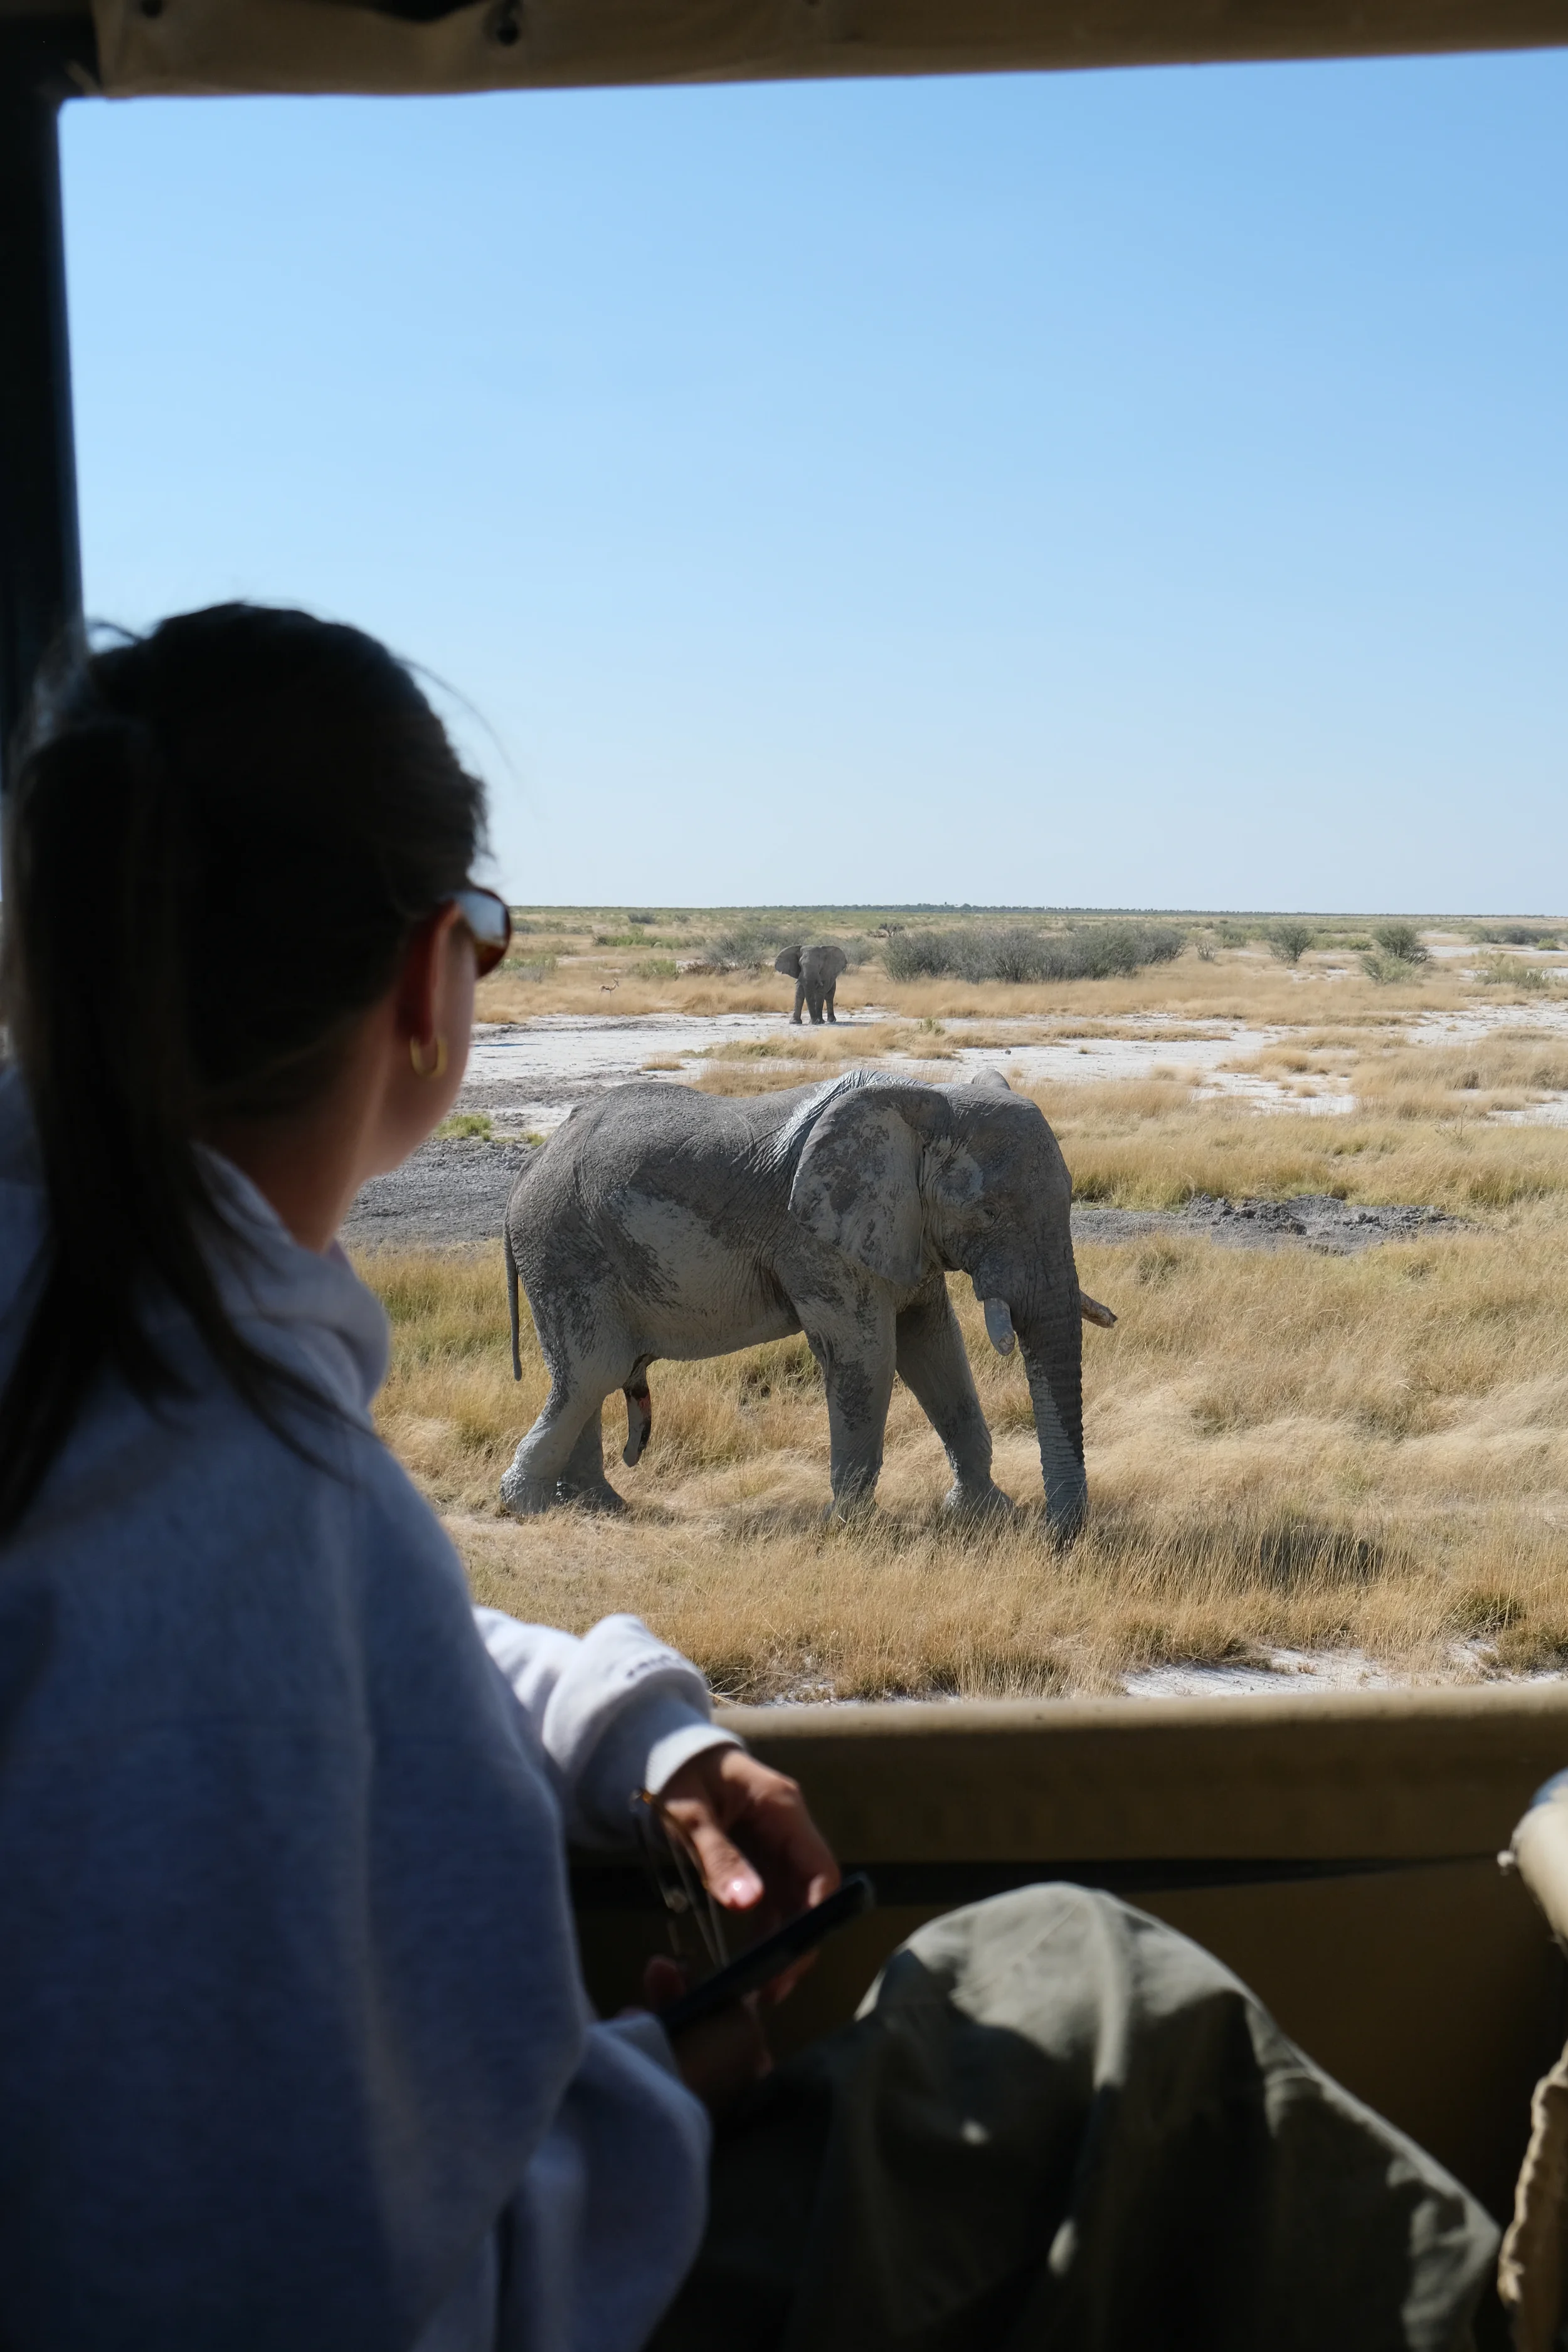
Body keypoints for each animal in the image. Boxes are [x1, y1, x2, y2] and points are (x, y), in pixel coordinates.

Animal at [500, 1067, 1116, 1534]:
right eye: (986, 1213)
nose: (1056, 1535)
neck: (922, 1097)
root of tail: (530, 1164)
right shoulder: (818, 1242)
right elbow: (868, 1357)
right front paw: (850, 1530)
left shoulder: (904, 1234)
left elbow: (936, 1349)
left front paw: (984, 1515)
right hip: (563, 1248)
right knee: (593, 1373)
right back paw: (528, 1508)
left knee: (589, 1380)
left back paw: (598, 1507)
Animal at [774, 942, 848, 1025]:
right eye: (800, 965)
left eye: (819, 965)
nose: (814, 1022)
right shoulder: (800, 975)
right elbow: (799, 993)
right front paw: (795, 1022)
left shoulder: (825, 974)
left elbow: (820, 993)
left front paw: (819, 1022)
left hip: (833, 981)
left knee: (829, 997)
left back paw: (831, 1020)